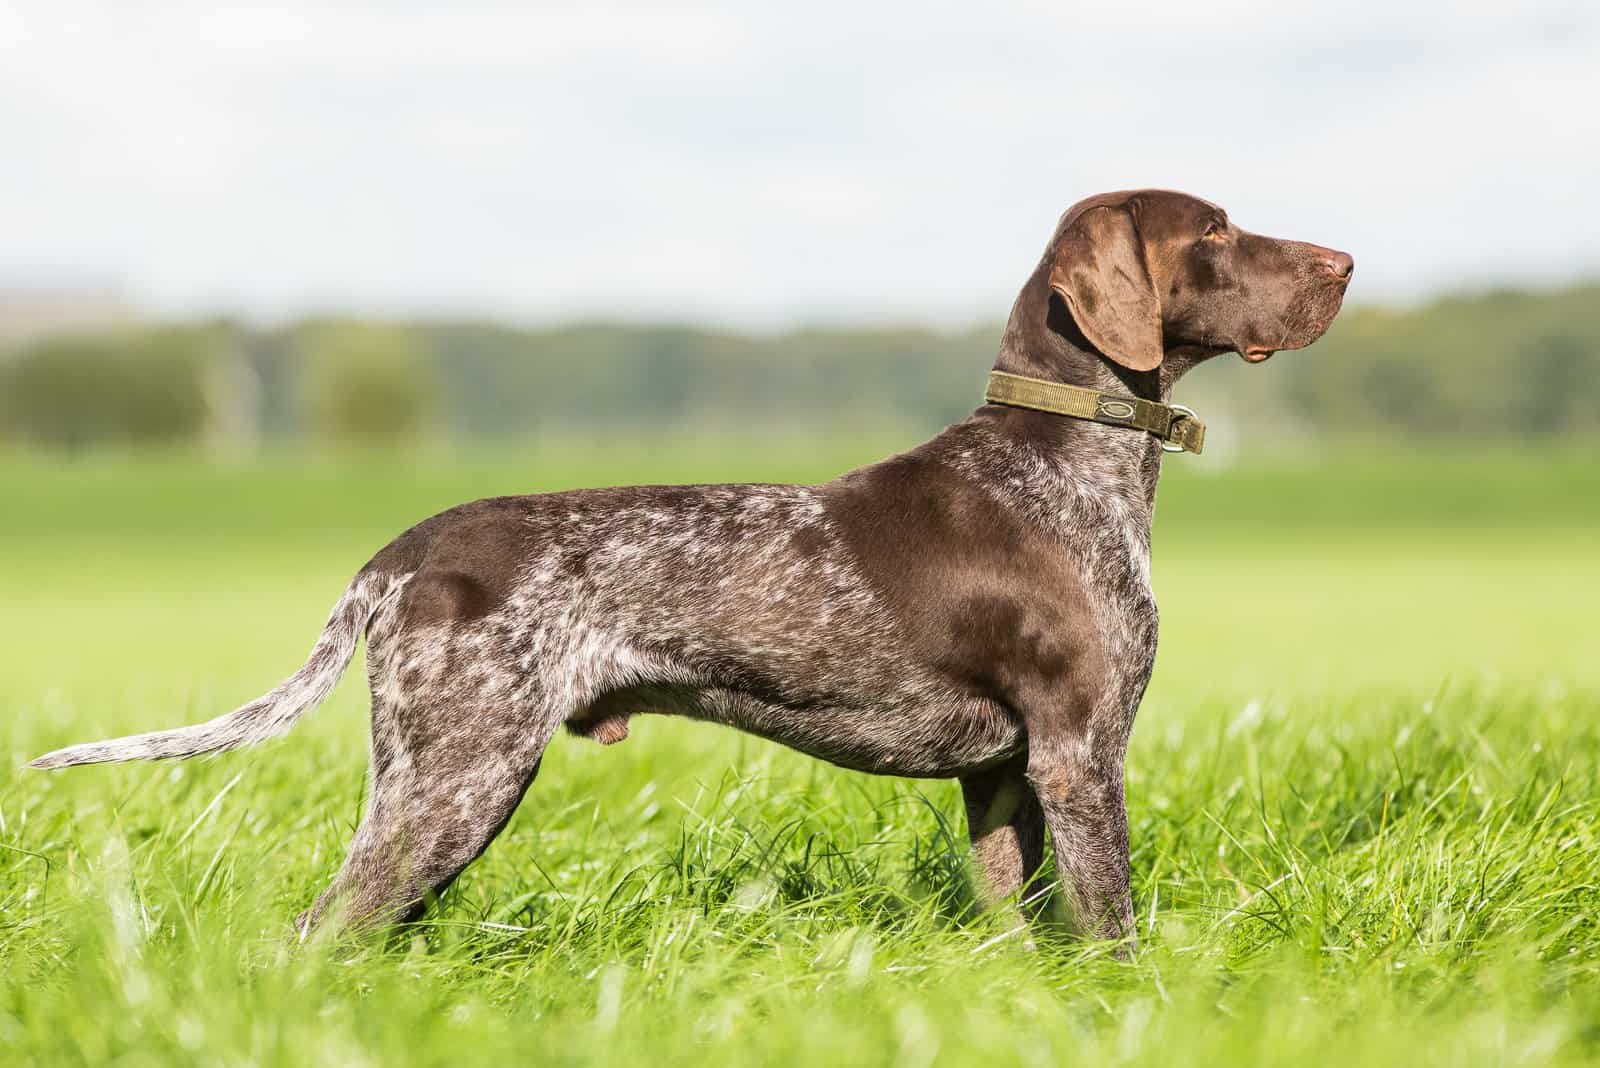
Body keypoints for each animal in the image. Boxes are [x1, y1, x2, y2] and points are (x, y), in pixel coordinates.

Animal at [28, 191, 1350, 940]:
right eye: (1213, 232)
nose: (1342, 262)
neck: (1065, 458)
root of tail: (403, 552)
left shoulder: (1002, 776)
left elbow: (1018, 930)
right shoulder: (1081, 754)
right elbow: (1112, 924)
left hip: (435, 785)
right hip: (457, 781)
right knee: (320, 933)